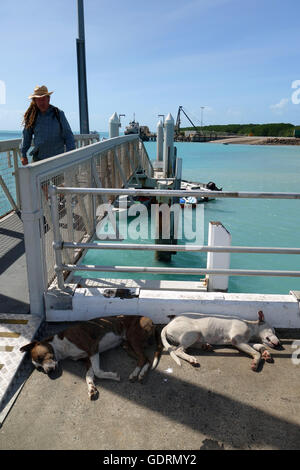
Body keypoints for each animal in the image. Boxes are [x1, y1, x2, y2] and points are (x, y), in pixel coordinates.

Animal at [19, 314, 162, 398]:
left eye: (40, 357)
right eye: (39, 369)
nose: (48, 371)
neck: (61, 346)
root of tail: (152, 321)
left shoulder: (93, 349)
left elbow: (98, 372)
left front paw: (113, 376)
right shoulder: (87, 359)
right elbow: (89, 375)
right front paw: (91, 388)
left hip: (133, 339)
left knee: (145, 358)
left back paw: (137, 374)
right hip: (127, 346)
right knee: (146, 359)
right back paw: (138, 374)